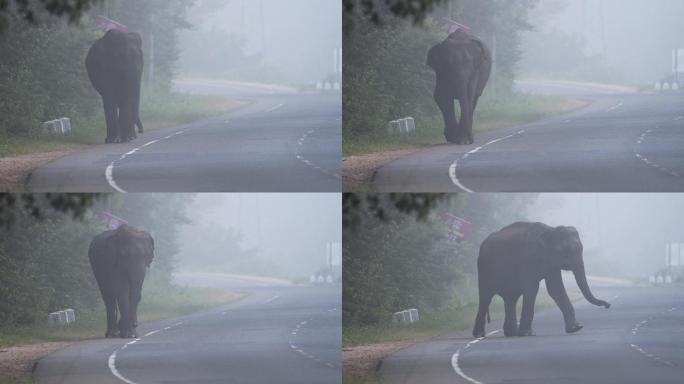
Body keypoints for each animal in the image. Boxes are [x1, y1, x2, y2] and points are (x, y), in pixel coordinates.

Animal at [472, 220, 612, 338]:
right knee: (486, 297)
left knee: (510, 299)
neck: (551, 230)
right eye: (566, 250)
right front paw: (527, 334)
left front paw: (576, 328)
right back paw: (479, 335)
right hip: (484, 267)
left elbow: (555, 289)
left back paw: (511, 334)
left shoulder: (551, 262)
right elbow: (532, 288)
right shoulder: (528, 258)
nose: (608, 305)